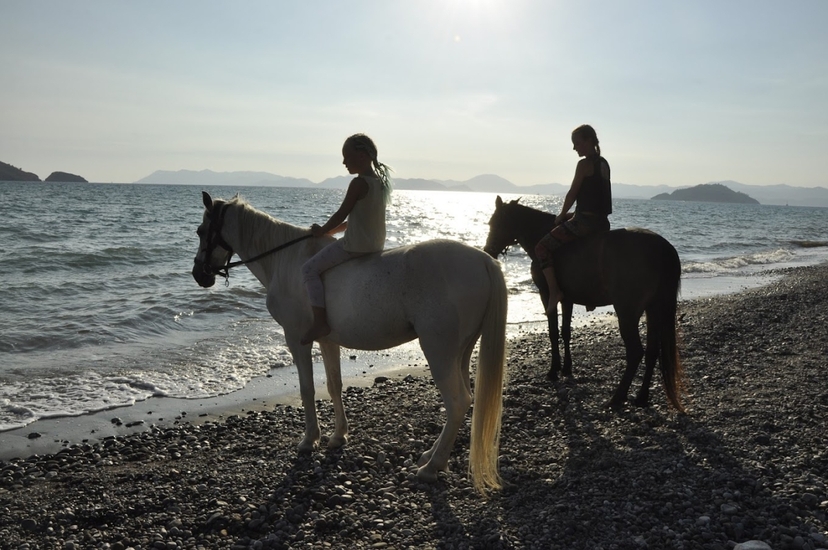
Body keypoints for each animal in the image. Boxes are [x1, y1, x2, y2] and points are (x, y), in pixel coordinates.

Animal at [192, 192, 508, 494]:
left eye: (200, 231)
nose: (199, 274)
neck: (287, 261)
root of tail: (483, 260)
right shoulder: (327, 340)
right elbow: (334, 385)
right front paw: (338, 436)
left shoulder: (296, 339)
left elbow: (307, 389)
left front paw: (310, 440)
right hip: (461, 351)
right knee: (465, 398)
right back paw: (431, 456)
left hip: (439, 351)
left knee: (457, 402)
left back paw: (431, 467)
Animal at [483, 196, 685, 412]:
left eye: (494, 223)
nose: (488, 251)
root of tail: (662, 248)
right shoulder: (568, 299)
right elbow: (565, 331)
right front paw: (566, 368)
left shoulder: (547, 295)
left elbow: (553, 331)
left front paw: (553, 370)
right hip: (654, 309)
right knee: (652, 351)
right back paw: (641, 397)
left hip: (627, 312)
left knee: (635, 352)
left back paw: (617, 397)